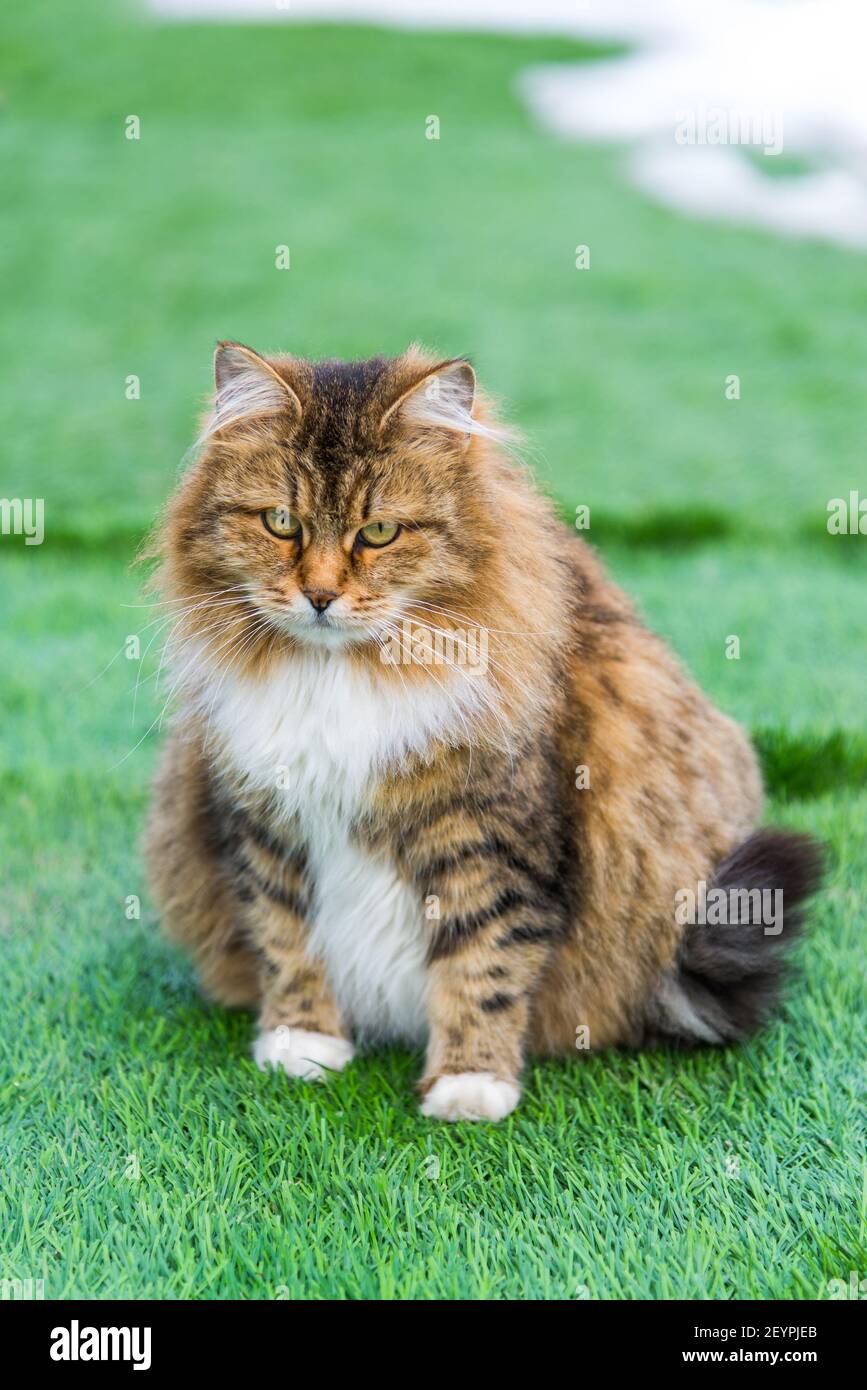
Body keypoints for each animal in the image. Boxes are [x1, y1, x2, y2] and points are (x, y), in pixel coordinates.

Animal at [143, 341, 828, 1123]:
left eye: (379, 532)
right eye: (281, 523)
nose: (318, 596)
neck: (342, 673)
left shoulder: (490, 838)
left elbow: (484, 964)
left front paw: (470, 1085)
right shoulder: (265, 823)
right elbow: (286, 941)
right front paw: (302, 1046)